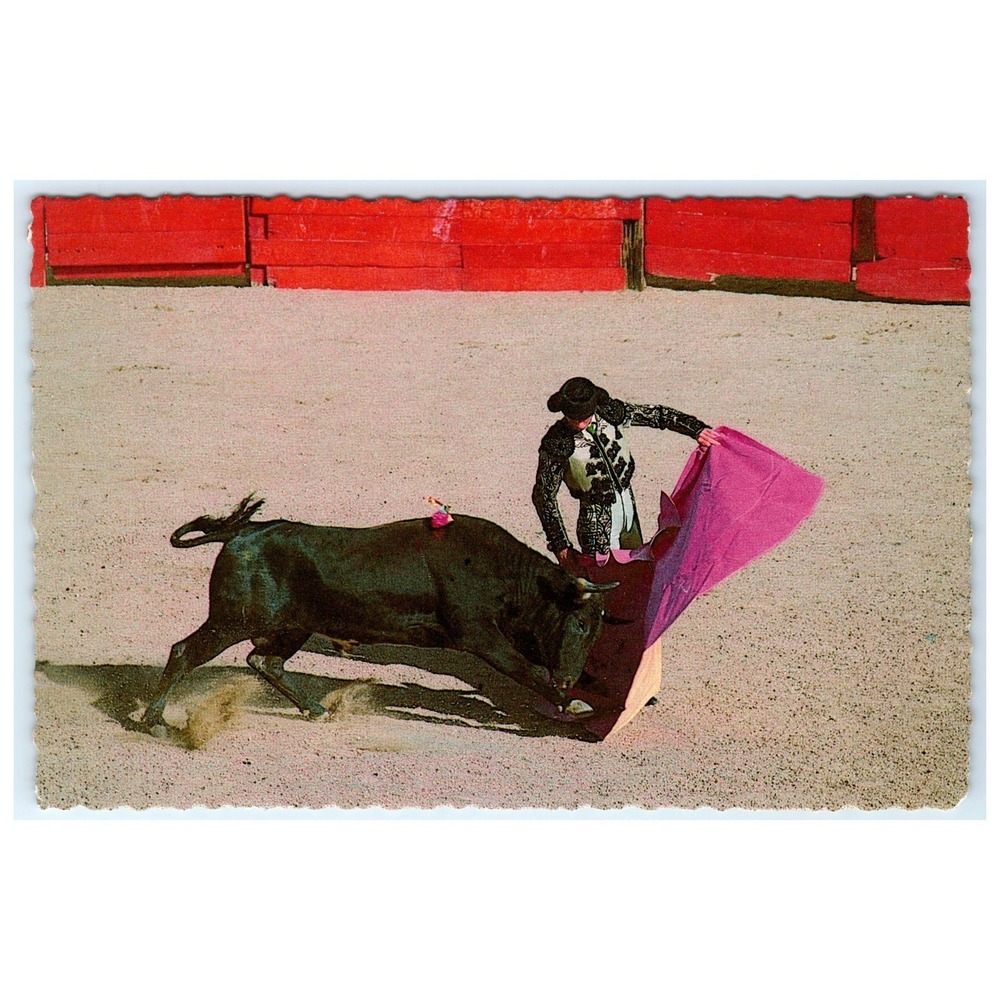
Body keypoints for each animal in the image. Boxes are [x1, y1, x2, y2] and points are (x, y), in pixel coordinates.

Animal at [142, 496, 618, 729]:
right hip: (232, 620)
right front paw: (574, 704)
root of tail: (245, 531)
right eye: (579, 623)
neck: (505, 573)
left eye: (598, 631)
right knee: (185, 652)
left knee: (265, 661)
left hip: (293, 626)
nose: (569, 679)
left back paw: (317, 710)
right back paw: (153, 721)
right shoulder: (479, 635)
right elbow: (527, 670)